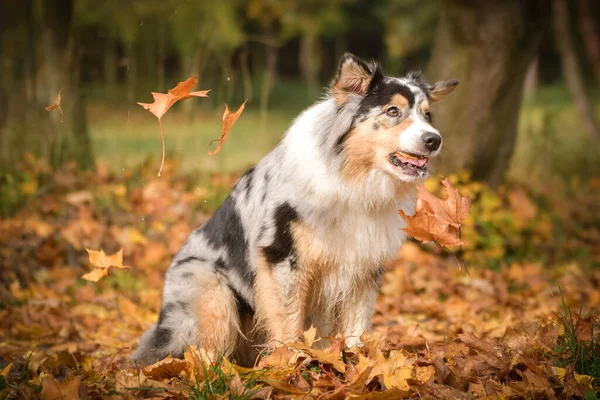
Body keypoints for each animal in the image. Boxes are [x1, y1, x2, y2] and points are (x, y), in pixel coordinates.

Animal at [134, 52, 458, 366]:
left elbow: (357, 322)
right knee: (202, 350)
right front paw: (291, 364)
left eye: (427, 115)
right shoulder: (282, 256)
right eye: (393, 111)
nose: (434, 140)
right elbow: (287, 319)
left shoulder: (364, 265)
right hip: (212, 295)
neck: (351, 180)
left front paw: (360, 361)